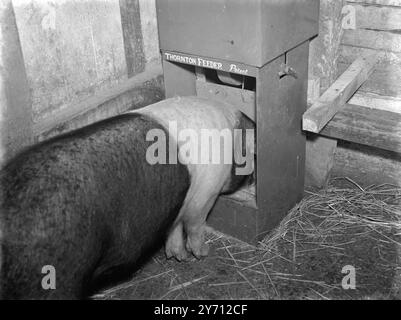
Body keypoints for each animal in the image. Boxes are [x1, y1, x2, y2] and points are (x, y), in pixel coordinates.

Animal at [0, 95, 255, 300]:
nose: (252, 179)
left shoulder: (177, 205)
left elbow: (173, 229)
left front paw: (178, 257)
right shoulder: (204, 195)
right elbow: (194, 226)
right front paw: (203, 254)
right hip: (53, 278)